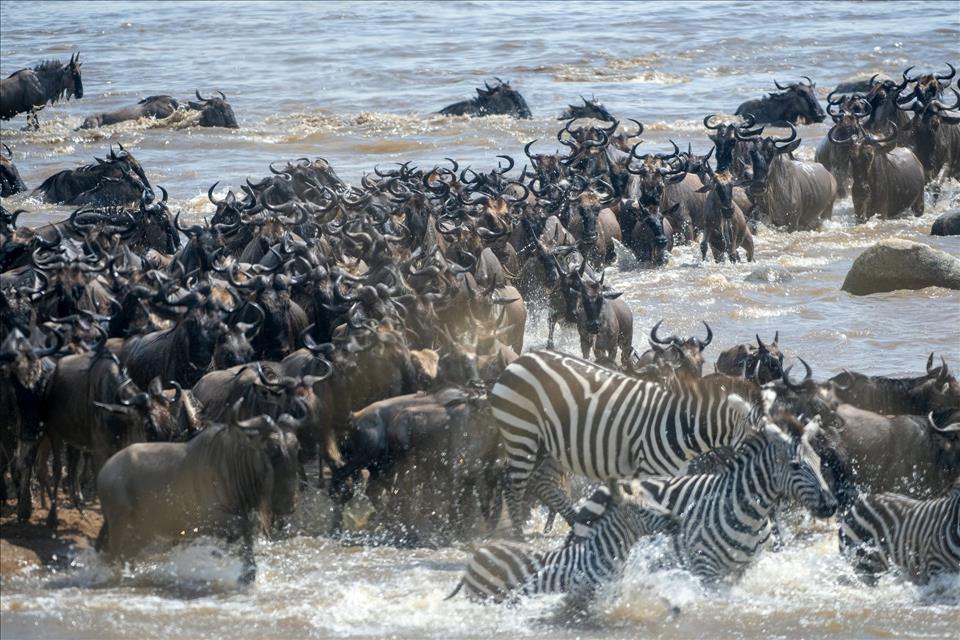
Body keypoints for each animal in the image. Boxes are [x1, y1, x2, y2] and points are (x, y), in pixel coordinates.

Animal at [445, 484, 678, 604]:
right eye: (644, 511)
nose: (677, 520)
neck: (601, 554)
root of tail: (477, 554)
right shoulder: (584, 595)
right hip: (482, 596)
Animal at [490, 350, 771, 535]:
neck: (679, 425)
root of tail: (520, 359)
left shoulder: (673, 472)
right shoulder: (649, 470)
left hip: (545, 444)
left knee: (540, 482)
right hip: (521, 434)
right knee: (513, 487)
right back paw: (519, 539)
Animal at [630, 415, 838, 583]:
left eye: (819, 461)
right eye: (795, 465)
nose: (831, 505)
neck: (751, 518)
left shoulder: (747, 566)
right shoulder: (705, 570)